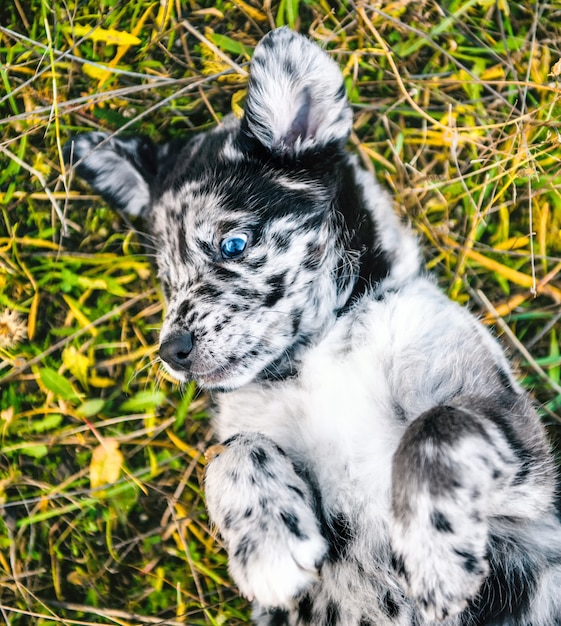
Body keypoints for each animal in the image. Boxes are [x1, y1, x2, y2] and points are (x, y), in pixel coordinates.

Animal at [65, 28, 560, 624]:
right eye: (167, 280)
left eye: (234, 244)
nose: (171, 351)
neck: (320, 350)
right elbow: (229, 453)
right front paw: (267, 549)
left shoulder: (522, 463)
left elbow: (438, 422)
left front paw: (434, 551)